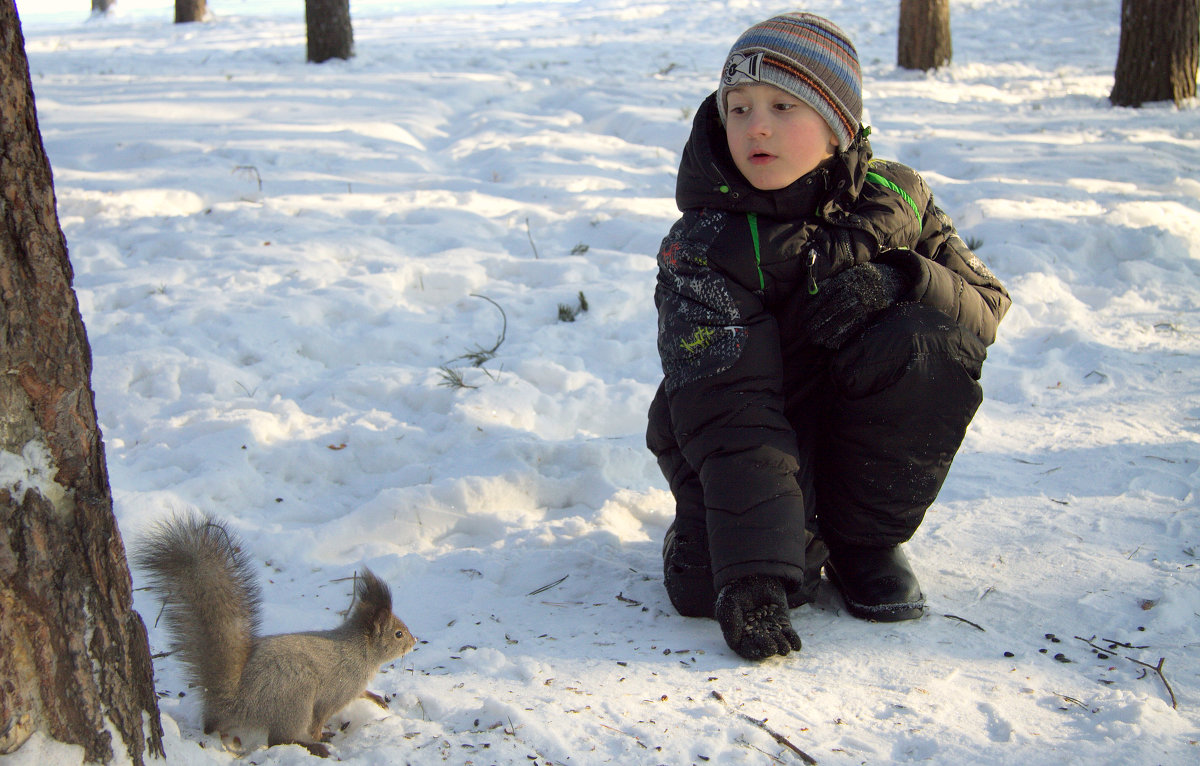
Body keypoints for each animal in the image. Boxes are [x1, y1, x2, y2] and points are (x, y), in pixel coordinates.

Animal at [136, 513, 415, 758]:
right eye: (398, 634)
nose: (413, 642)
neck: (360, 650)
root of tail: (229, 703)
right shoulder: (338, 689)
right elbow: (321, 716)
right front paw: (319, 734)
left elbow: (362, 693)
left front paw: (376, 697)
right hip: (295, 698)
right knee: (278, 739)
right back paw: (314, 746)